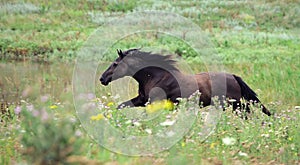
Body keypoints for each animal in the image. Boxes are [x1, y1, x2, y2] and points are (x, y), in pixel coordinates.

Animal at [99, 48, 270, 116]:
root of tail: (233, 76)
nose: (102, 79)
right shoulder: (142, 100)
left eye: (115, 64)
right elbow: (121, 106)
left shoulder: (155, 102)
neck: (154, 77)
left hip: (236, 104)